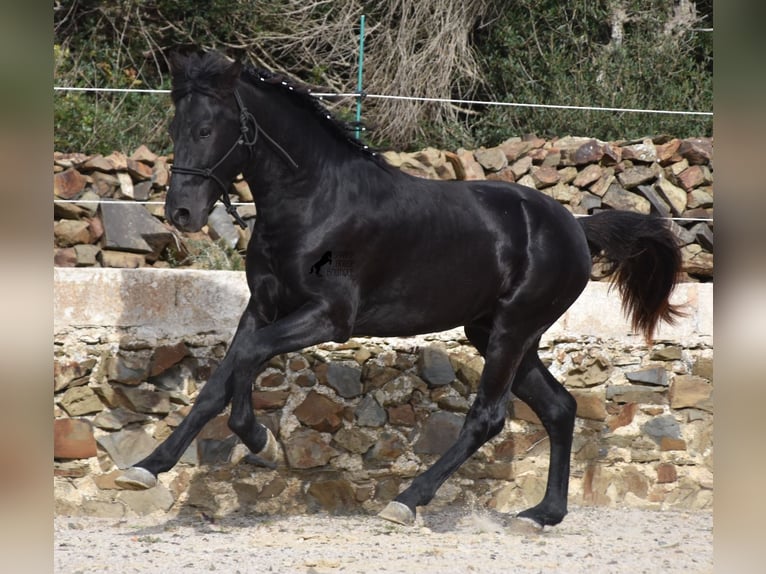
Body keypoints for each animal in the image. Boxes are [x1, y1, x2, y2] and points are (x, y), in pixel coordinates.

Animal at [115, 51, 684, 528]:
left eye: (208, 128)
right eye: (176, 127)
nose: (181, 212)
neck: (315, 200)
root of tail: (575, 228)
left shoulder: (329, 317)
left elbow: (249, 359)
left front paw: (261, 441)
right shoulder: (264, 306)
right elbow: (220, 380)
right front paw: (148, 466)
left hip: (512, 330)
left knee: (489, 417)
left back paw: (407, 501)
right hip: (496, 334)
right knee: (560, 407)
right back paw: (542, 515)